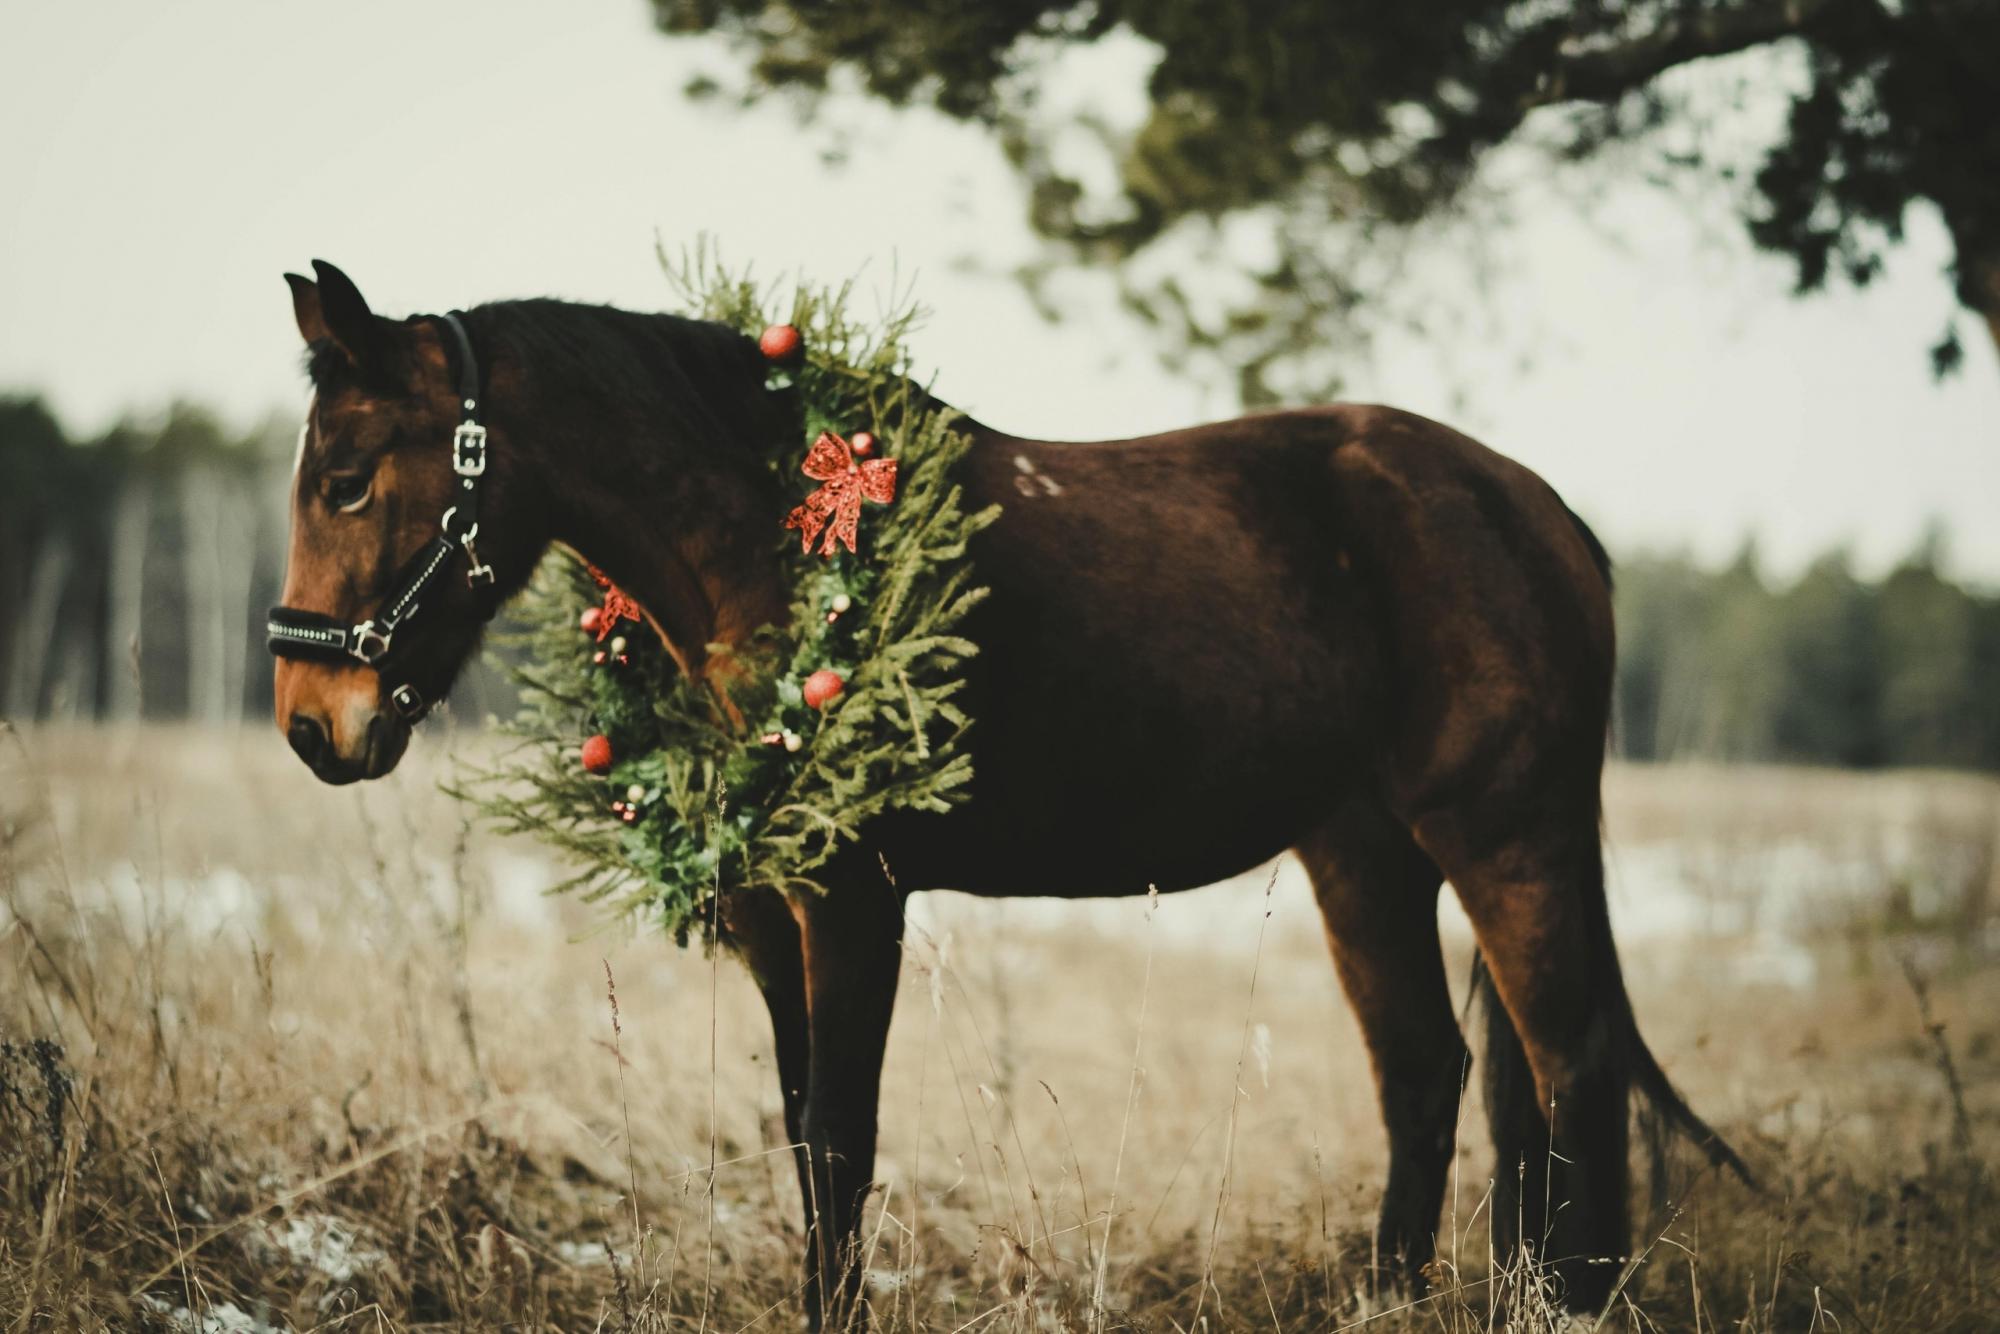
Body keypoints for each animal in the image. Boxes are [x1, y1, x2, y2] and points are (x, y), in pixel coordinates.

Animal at [274, 258, 1744, 1328]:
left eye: (346, 478)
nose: (309, 723)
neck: (776, 538)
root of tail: (1536, 509)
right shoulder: (767, 909)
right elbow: (801, 1126)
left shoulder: (852, 898)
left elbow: (840, 1139)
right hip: (1365, 856)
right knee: (1430, 1069)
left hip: (1507, 838)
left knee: (1569, 1066)